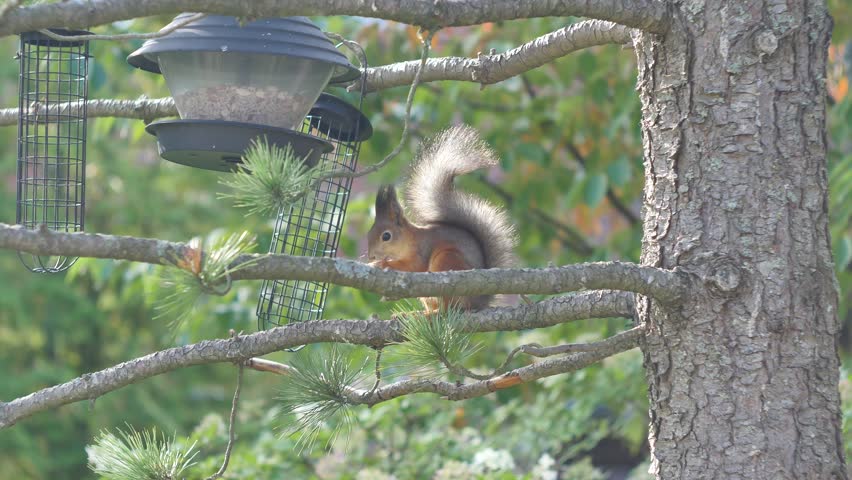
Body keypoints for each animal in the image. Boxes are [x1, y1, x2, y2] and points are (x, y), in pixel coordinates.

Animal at [366, 124, 518, 312]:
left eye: (386, 236)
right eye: (368, 234)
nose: (371, 256)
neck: (409, 240)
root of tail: (478, 301)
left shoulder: (421, 252)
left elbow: (413, 267)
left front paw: (380, 265)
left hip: (446, 260)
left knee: (448, 306)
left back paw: (434, 314)